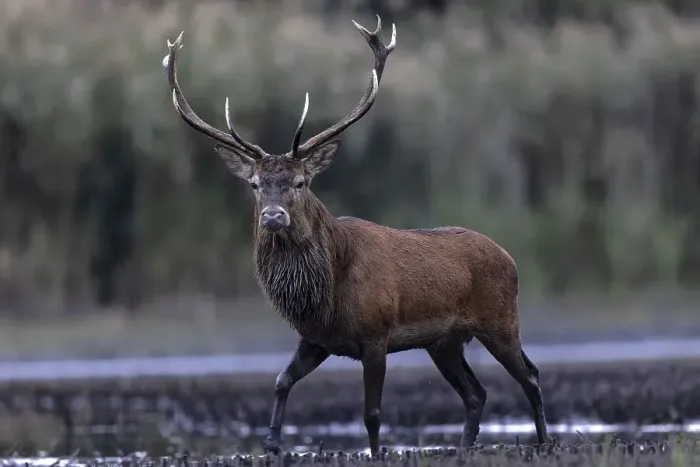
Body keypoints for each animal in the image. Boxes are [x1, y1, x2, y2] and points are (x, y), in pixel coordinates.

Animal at [162, 16, 548, 456]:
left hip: (500, 319)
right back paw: (467, 446)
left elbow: (372, 413)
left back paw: (543, 440)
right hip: (445, 342)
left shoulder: (376, 336)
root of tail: (509, 258)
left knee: (530, 374)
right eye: (256, 185)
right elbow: (281, 381)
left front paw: (376, 453)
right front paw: (271, 441)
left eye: (300, 182)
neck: (326, 294)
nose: (273, 216)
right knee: (476, 393)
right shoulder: (316, 339)